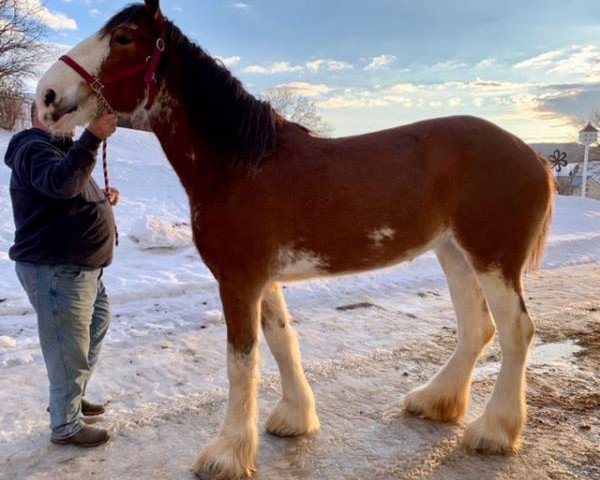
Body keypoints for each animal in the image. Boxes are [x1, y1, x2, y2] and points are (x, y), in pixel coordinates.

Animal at [36, 1, 552, 478]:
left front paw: (226, 453)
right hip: (454, 254)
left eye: (123, 37)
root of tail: (534, 157)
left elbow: (242, 362)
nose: (47, 94)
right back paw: (435, 401)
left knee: (516, 332)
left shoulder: (238, 280)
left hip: (492, 260)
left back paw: (493, 430)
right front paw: (294, 418)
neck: (240, 166)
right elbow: (282, 341)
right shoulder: (261, 279)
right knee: (476, 329)